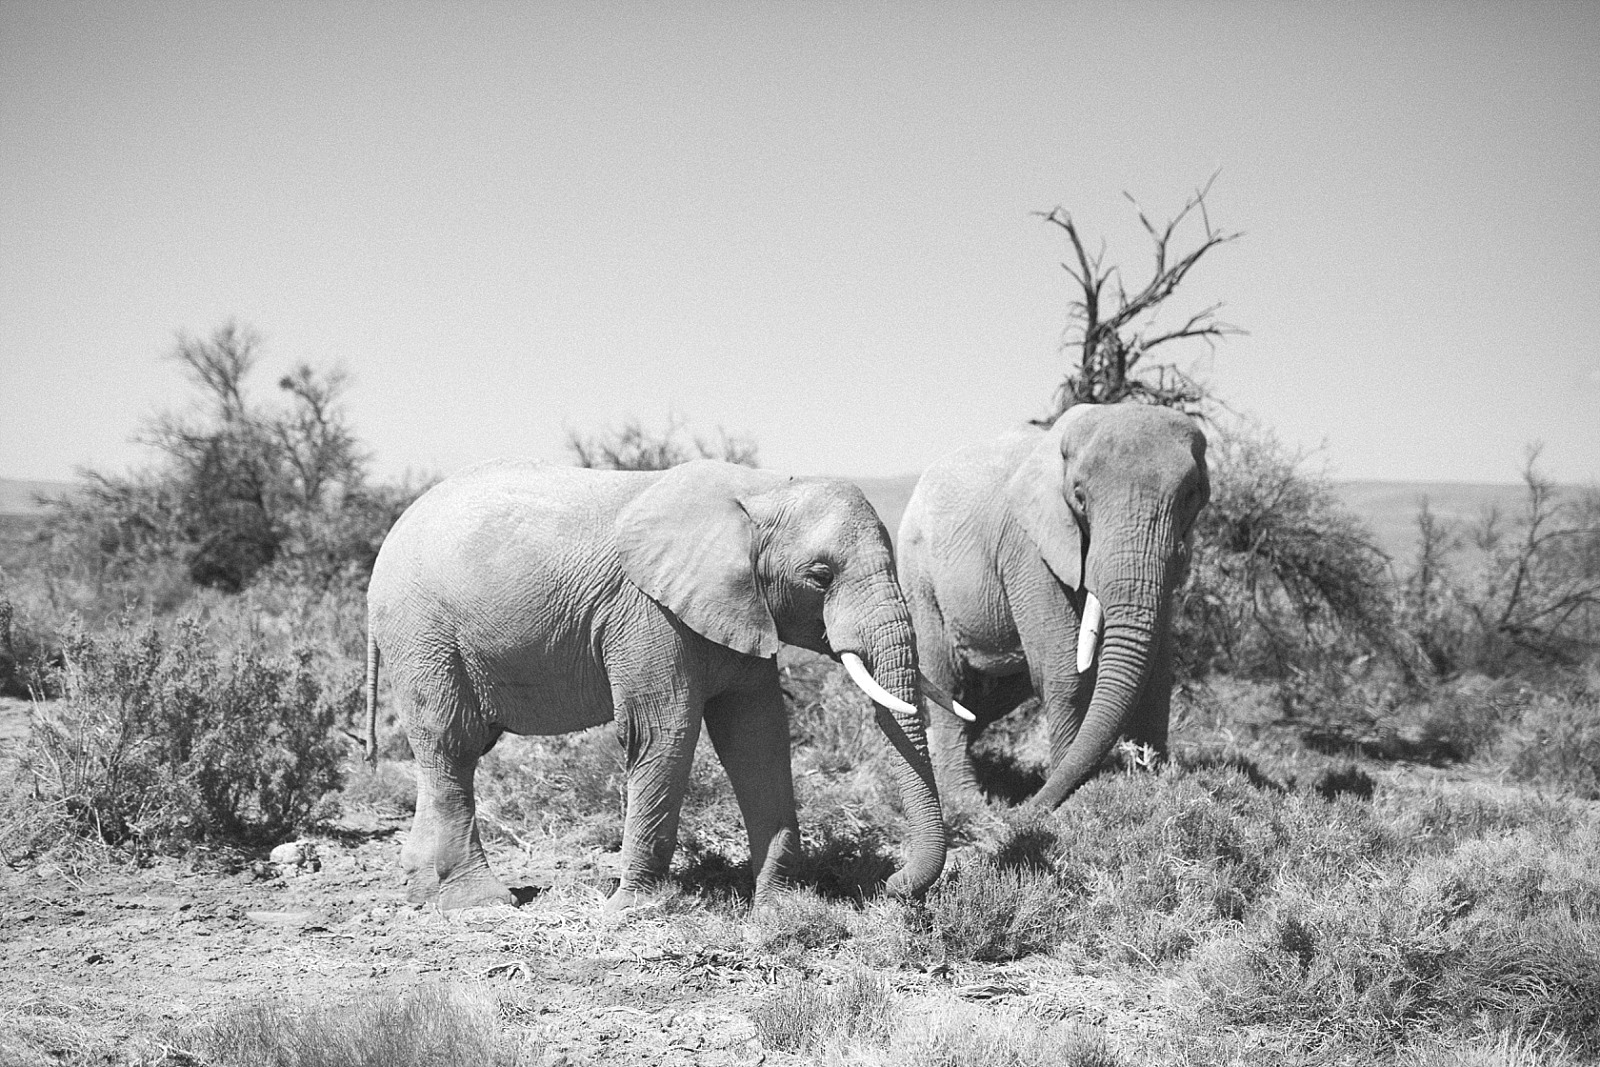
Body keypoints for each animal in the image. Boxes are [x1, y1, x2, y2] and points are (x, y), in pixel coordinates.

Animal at [364, 454, 947, 915]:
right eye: (821, 576)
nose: (890, 884)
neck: (762, 490)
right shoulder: (647, 613)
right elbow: (661, 733)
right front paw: (632, 909)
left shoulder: (739, 610)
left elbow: (756, 737)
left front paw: (779, 907)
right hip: (422, 632)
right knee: (453, 743)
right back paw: (480, 904)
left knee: (448, 752)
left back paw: (422, 895)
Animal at [902, 404, 1209, 806]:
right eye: (1079, 496)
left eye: (1191, 495)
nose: (1030, 807)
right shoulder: (1027, 548)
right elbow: (1066, 669)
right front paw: (1079, 797)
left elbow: (1157, 671)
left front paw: (1153, 783)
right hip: (919, 578)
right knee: (947, 679)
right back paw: (969, 802)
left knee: (996, 693)